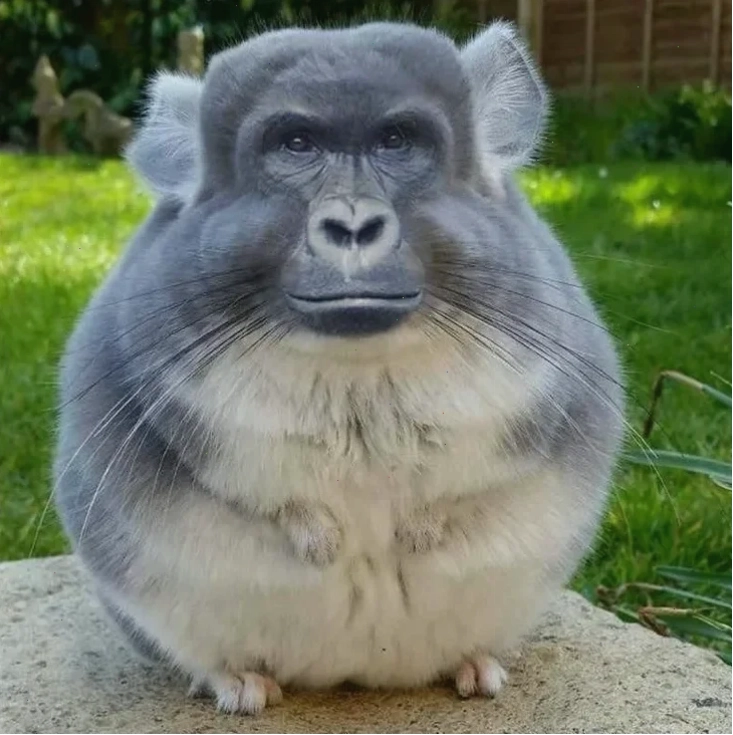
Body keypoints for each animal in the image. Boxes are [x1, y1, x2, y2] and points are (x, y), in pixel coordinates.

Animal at [53, 21, 625, 714]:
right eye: (297, 144)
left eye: (395, 141)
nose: (352, 226)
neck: (358, 365)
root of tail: (352, 672)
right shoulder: (195, 418)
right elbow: (270, 490)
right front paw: (325, 544)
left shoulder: (526, 405)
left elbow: (459, 483)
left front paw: (416, 537)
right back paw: (243, 689)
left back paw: (479, 673)